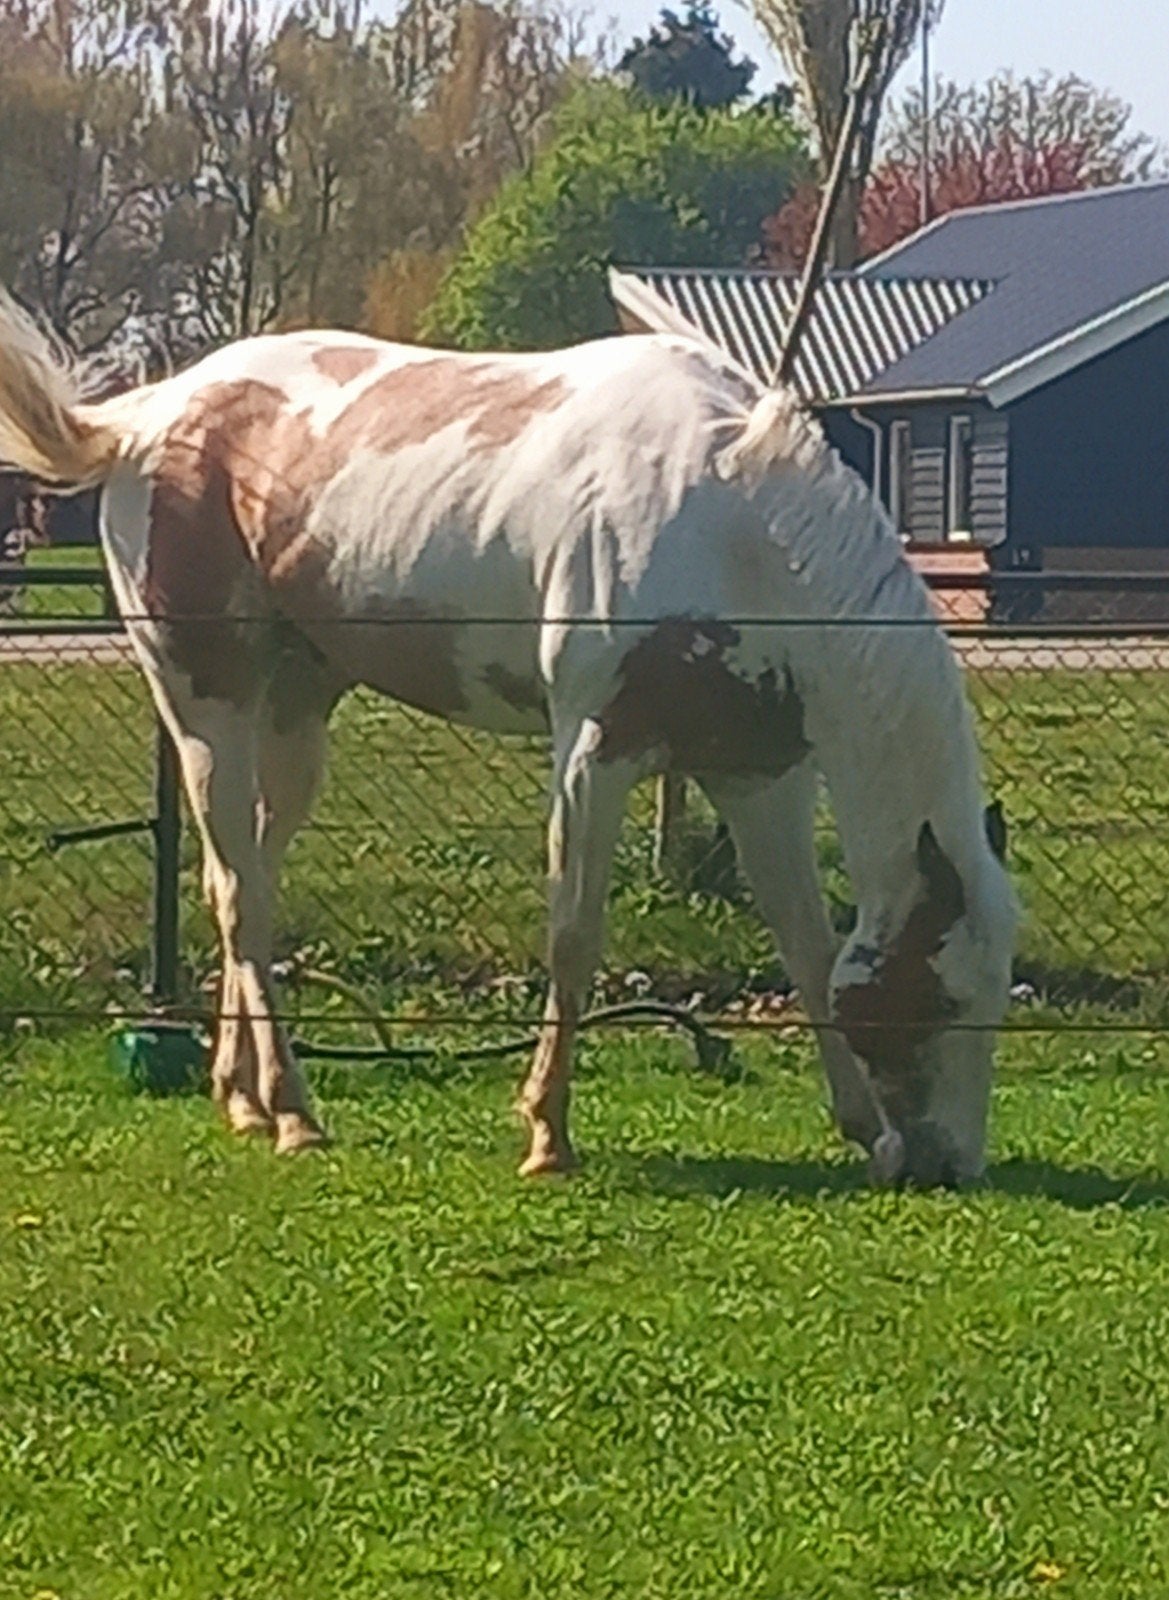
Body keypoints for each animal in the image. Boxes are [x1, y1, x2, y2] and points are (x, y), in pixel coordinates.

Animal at [0, 293, 1016, 1186]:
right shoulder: (594, 752)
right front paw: (547, 1135)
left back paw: (241, 1098)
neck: (734, 523)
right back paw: (293, 1113)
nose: (948, 1165)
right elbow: (574, 936)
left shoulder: (755, 774)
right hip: (205, 709)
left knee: (242, 876)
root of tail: (150, 416)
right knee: (239, 895)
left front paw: (863, 1127)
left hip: (294, 716)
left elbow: (805, 943)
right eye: (944, 998)